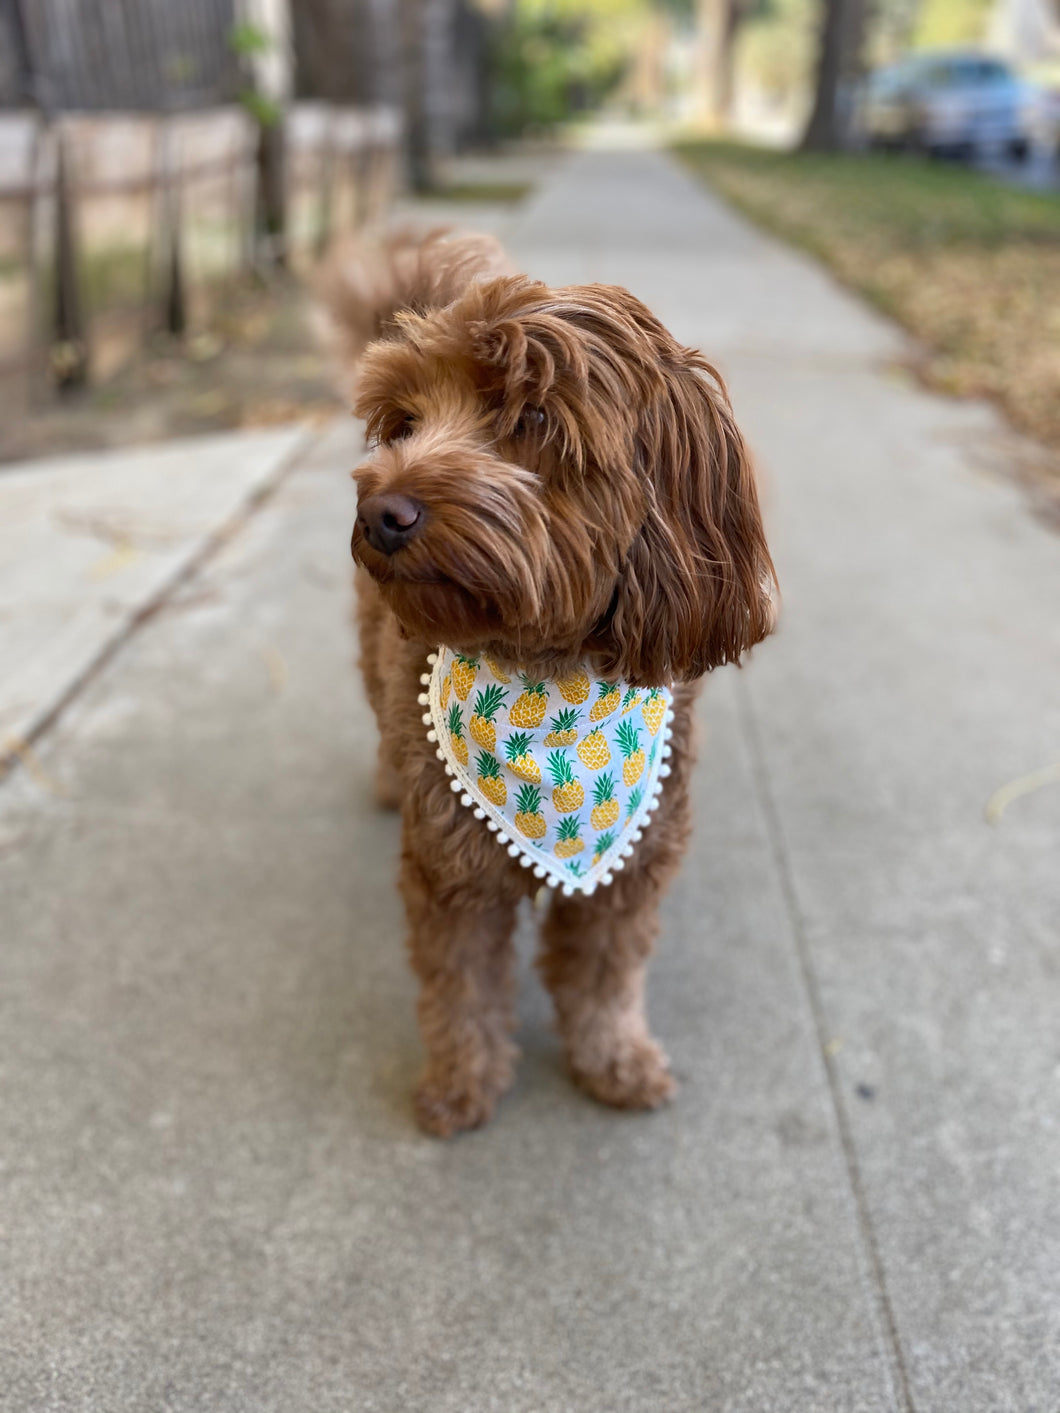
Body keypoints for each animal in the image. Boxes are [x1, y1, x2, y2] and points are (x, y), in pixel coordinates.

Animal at [323, 228, 780, 1136]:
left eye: (531, 418)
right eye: (404, 423)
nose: (380, 513)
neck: (548, 685)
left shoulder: (628, 873)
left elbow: (606, 975)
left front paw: (614, 1059)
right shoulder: (454, 876)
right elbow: (461, 987)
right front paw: (461, 1082)